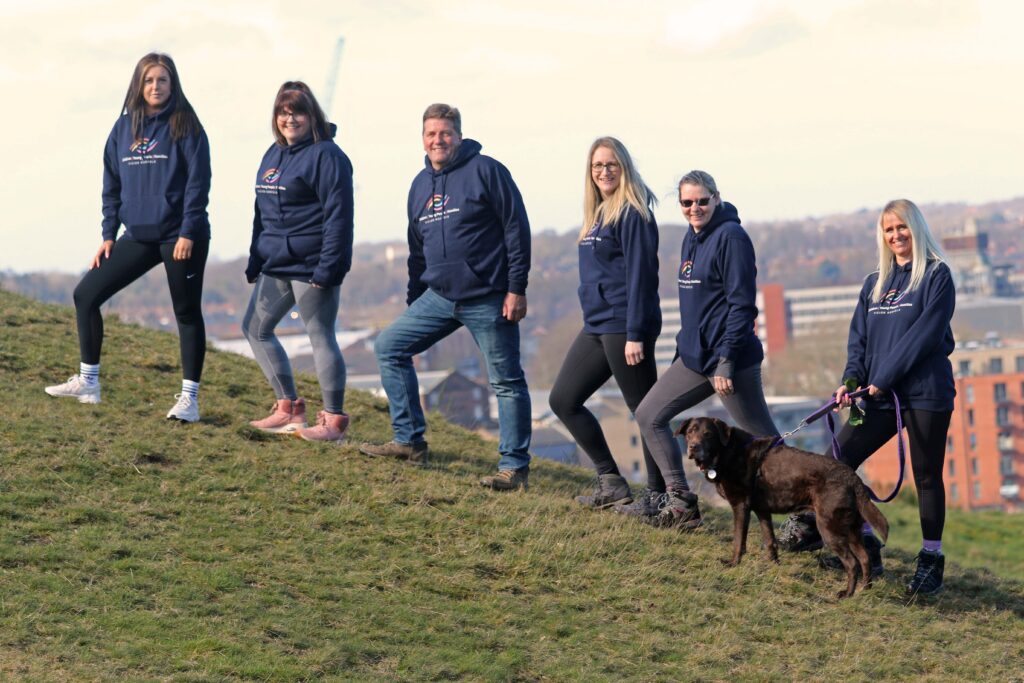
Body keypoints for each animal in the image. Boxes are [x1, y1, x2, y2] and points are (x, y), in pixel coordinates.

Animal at [675, 417, 884, 598]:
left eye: (708, 434)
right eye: (691, 432)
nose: (693, 447)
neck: (728, 451)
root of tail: (853, 478)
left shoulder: (741, 506)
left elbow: (738, 541)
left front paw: (733, 563)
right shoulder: (762, 510)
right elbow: (770, 540)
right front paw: (773, 564)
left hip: (829, 528)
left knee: (852, 563)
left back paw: (846, 594)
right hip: (851, 530)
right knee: (865, 558)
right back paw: (864, 589)